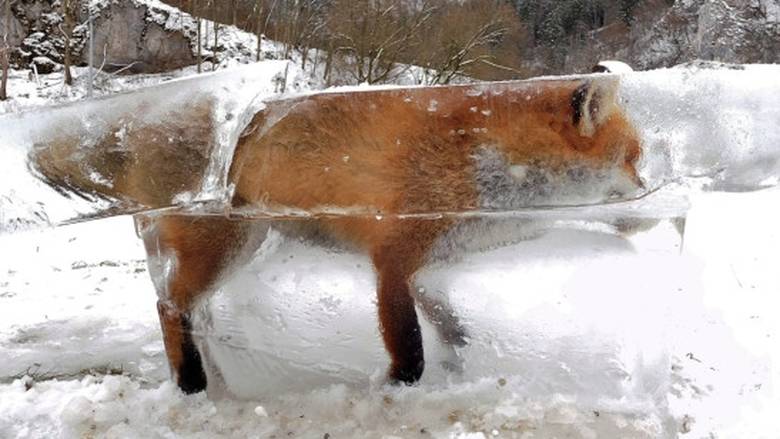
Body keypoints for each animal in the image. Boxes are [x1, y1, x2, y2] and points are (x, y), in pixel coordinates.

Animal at [29, 76, 640, 396]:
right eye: (634, 159)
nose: (647, 193)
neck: (479, 160)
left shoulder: (428, 264)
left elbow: (448, 322)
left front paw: (461, 355)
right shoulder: (392, 257)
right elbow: (409, 345)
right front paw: (396, 387)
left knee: (183, 305)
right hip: (224, 245)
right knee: (168, 306)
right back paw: (192, 381)